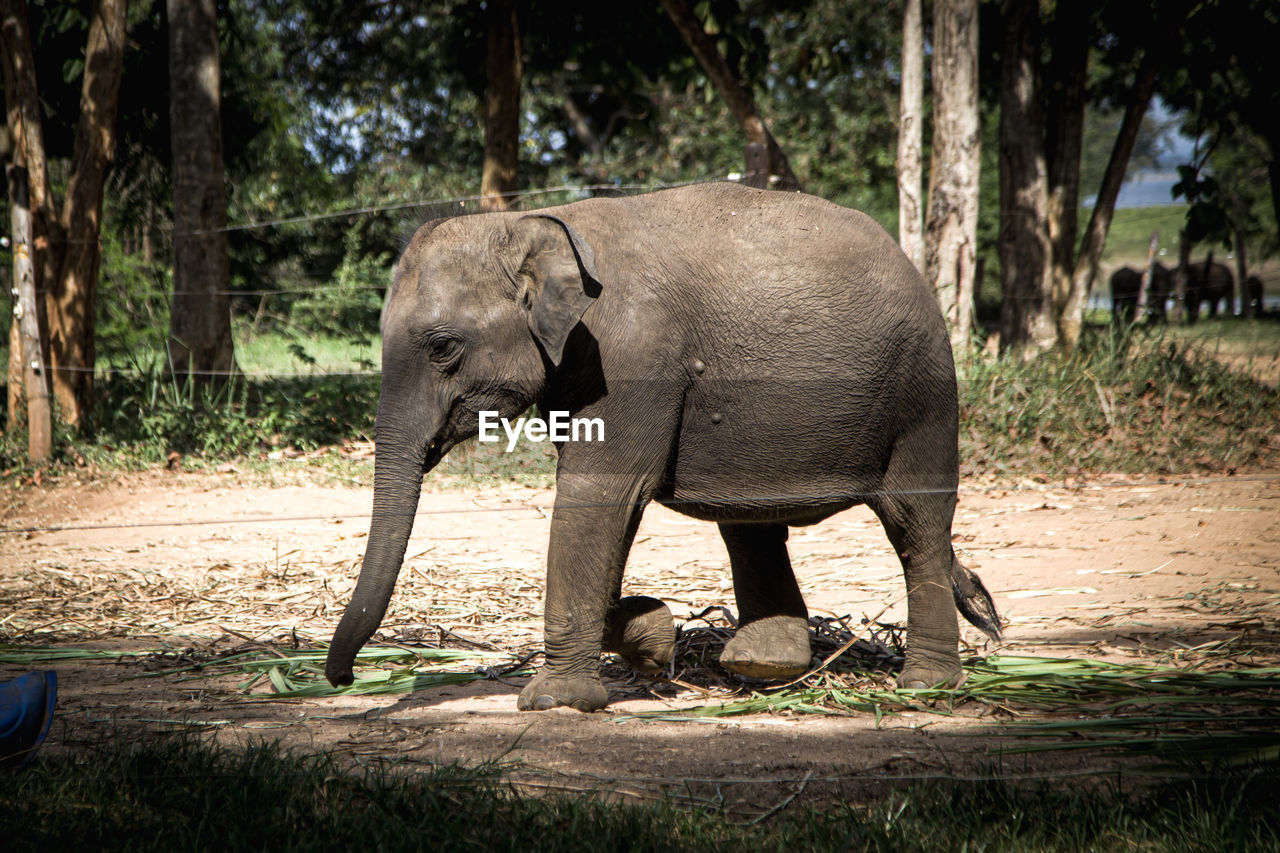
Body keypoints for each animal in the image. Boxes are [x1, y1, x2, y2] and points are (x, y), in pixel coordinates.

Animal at [320, 180, 998, 712]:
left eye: (442, 347)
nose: (344, 679)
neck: (540, 221)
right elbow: (607, 510)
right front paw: (650, 634)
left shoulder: (630, 355)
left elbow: (601, 496)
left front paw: (556, 700)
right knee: (750, 521)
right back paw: (760, 665)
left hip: (924, 391)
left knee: (914, 521)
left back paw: (925, 688)